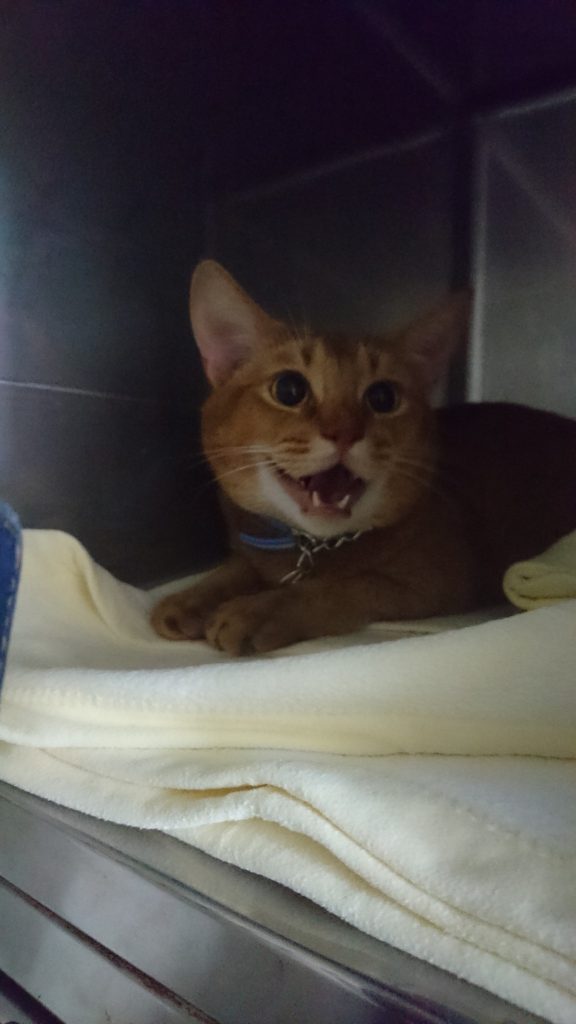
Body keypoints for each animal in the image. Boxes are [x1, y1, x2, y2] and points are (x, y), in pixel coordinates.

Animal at [151, 260, 576, 655]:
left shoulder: (436, 578)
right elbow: (239, 567)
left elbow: (343, 587)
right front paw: (191, 598)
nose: (345, 433)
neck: (312, 547)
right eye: (289, 389)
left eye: (383, 397)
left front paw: (258, 611)